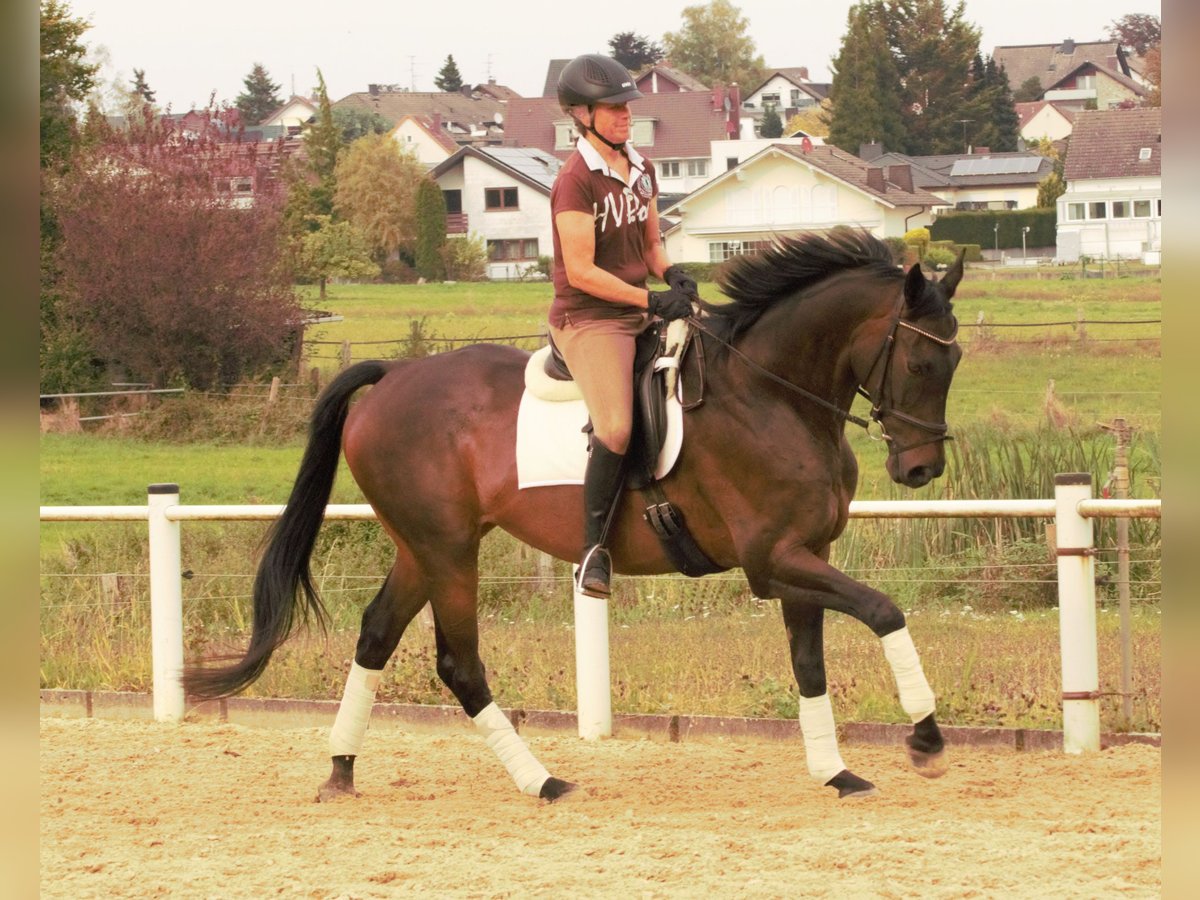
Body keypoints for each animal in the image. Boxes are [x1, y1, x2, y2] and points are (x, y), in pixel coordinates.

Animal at [180, 230, 964, 801]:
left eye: (953, 365)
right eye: (922, 365)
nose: (920, 470)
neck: (769, 393)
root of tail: (393, 376)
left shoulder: (805, 555)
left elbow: (809, 663)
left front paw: (836, 772)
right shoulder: (773, 560)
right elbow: (885, 611)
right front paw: (925, 739)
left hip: (420, 548)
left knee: (374, 635)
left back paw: (342, 770)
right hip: (448, 551)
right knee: (459, 663)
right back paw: (541, 780)